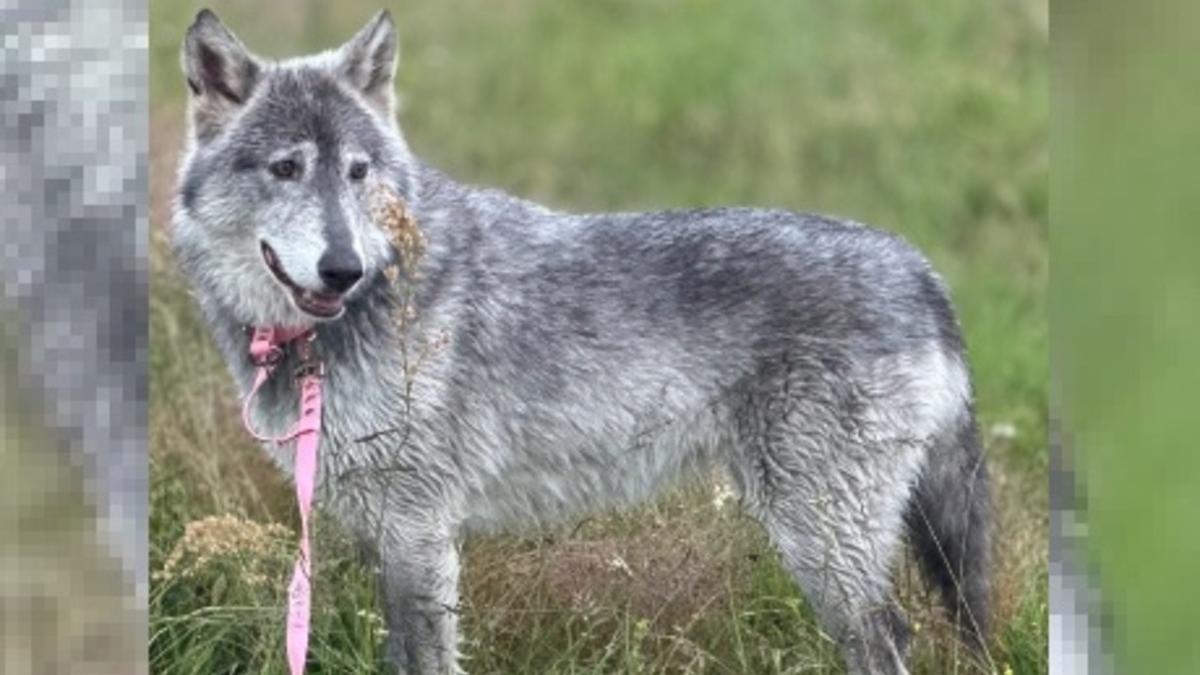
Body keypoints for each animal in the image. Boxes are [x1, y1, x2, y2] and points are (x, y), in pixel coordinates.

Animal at [171, 10, 993, 672]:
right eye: (286, 168)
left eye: (357, 172)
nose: (342, 268)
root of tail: (920, 270)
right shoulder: (383, 530)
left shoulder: (417, 529)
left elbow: (425, 658)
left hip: (820, 538)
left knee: (889, 635)